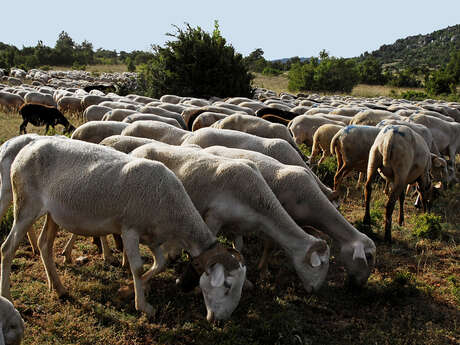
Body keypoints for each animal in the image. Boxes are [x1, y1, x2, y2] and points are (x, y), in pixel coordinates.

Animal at [0, 138, 248, 320]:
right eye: (227, 286)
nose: (221, 321)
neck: (174, 209)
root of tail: (29, 145)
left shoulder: (153, 237)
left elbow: (160, 263)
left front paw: (138, 288)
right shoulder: (130, 230)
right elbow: (137, 267)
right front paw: (143, 305)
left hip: (53, 213)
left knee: (44, 245)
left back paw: (59, 288)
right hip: (26, 204)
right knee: (7, 248)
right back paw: (7, 297)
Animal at [129, 141, 330, 292]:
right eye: (319, 264)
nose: (315, 290)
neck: (258, 198)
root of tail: (139, 148)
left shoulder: (238, 225)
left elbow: (239, 249)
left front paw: (247, 282)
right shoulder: (213, 217)